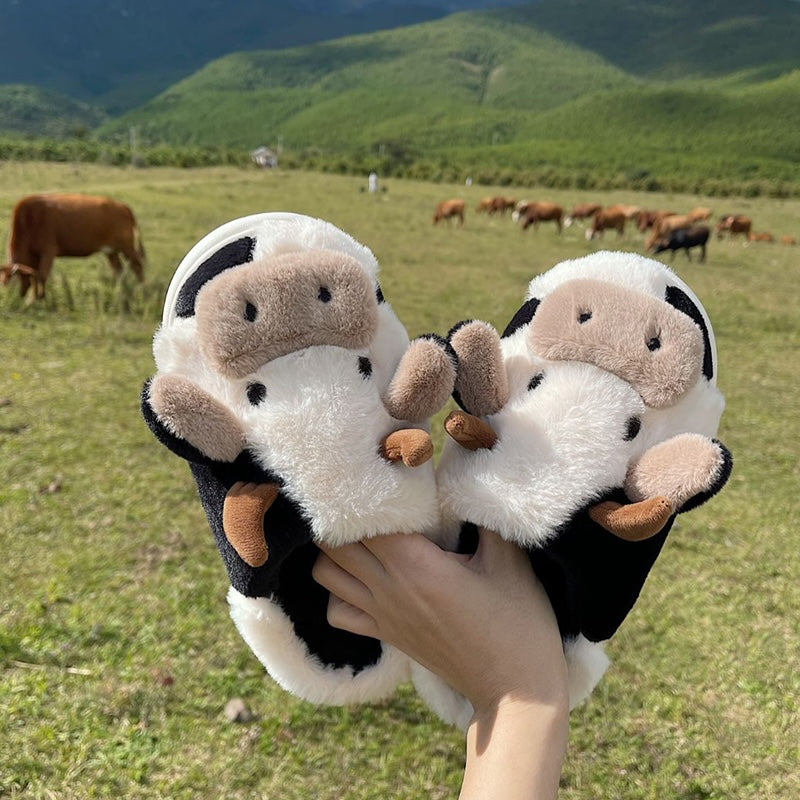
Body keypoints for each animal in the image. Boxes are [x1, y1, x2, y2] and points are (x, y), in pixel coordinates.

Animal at [1, 193, 145, 299]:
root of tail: (122, 206)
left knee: (137, 265)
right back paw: (120, 290)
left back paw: (141, 288)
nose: (7, 300)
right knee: (118, 270)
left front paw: (37, 298)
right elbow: (36, 276)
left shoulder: (48, 252)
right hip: (111, 251)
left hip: (127, 248)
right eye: (2, 282)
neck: (29, 219)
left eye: (11, 281)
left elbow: (42, 275)